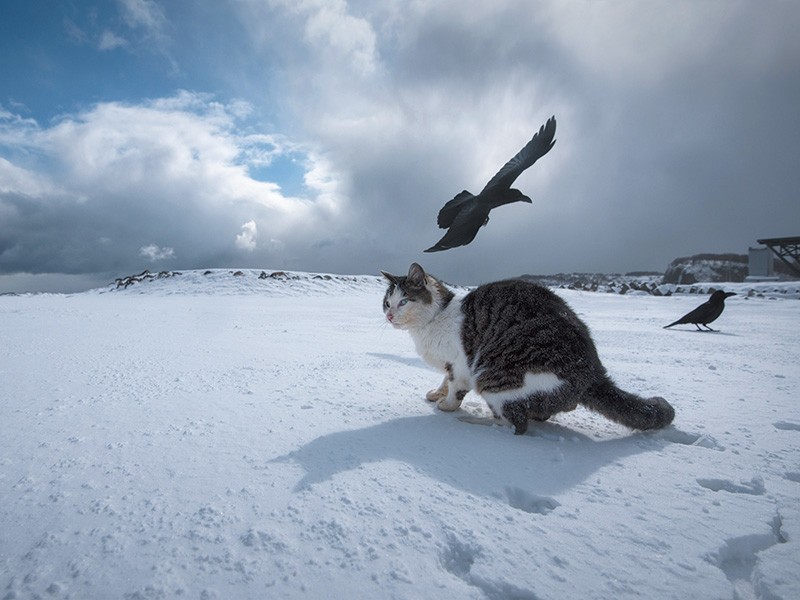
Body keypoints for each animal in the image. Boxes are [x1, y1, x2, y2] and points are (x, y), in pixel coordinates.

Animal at [382, 262, 676, 436]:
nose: (389, 315)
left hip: (491, 377)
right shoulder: (448, 364)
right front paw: (436, 393)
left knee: (514, 424)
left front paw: (446, 406)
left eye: (404, 301)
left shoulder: (460, 363)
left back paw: (476, 423)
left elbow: (455, 388)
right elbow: (444, 380)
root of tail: (593, 372)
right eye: (387, 302)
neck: (433, 320)